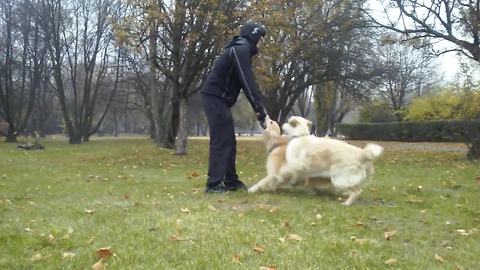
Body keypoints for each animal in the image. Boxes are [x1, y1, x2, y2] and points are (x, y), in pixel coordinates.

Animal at [249, 115, 384, 206]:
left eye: (287, 122)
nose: (281, 123)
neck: (300, 136)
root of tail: (362, 153)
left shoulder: (294, 165)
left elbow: (273, 176)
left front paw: (253, 189)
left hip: (339, 179)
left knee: (357, 191)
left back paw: (347, 203)